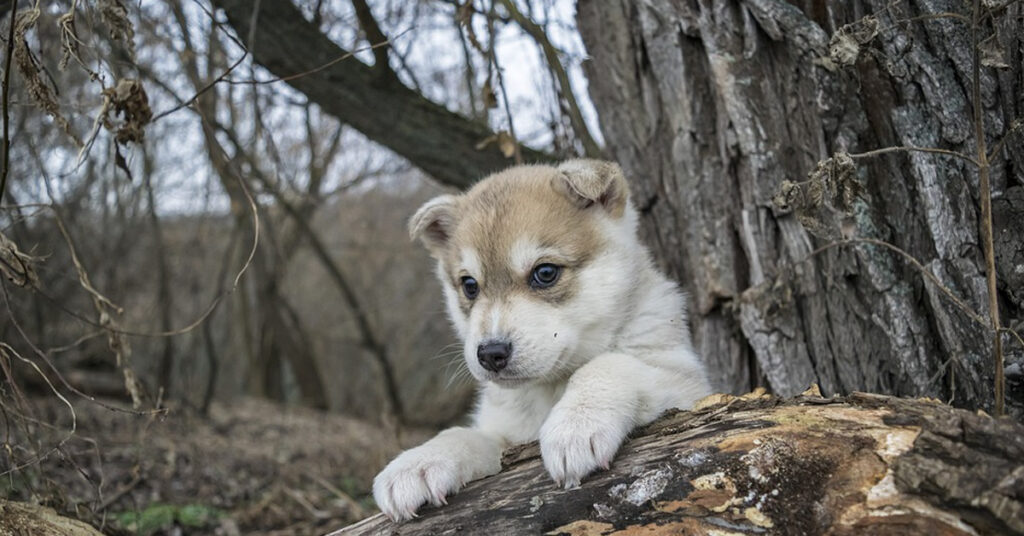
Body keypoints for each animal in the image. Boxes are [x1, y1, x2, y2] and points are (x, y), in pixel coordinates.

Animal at [372, 159, 708, 520]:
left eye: (545, 273)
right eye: (470, 286)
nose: (490, 353)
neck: (550, 389)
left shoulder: (688, 385)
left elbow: (609, 363)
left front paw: (576, 422)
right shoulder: (507, 436)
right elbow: (465, 435)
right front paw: (418, 462)